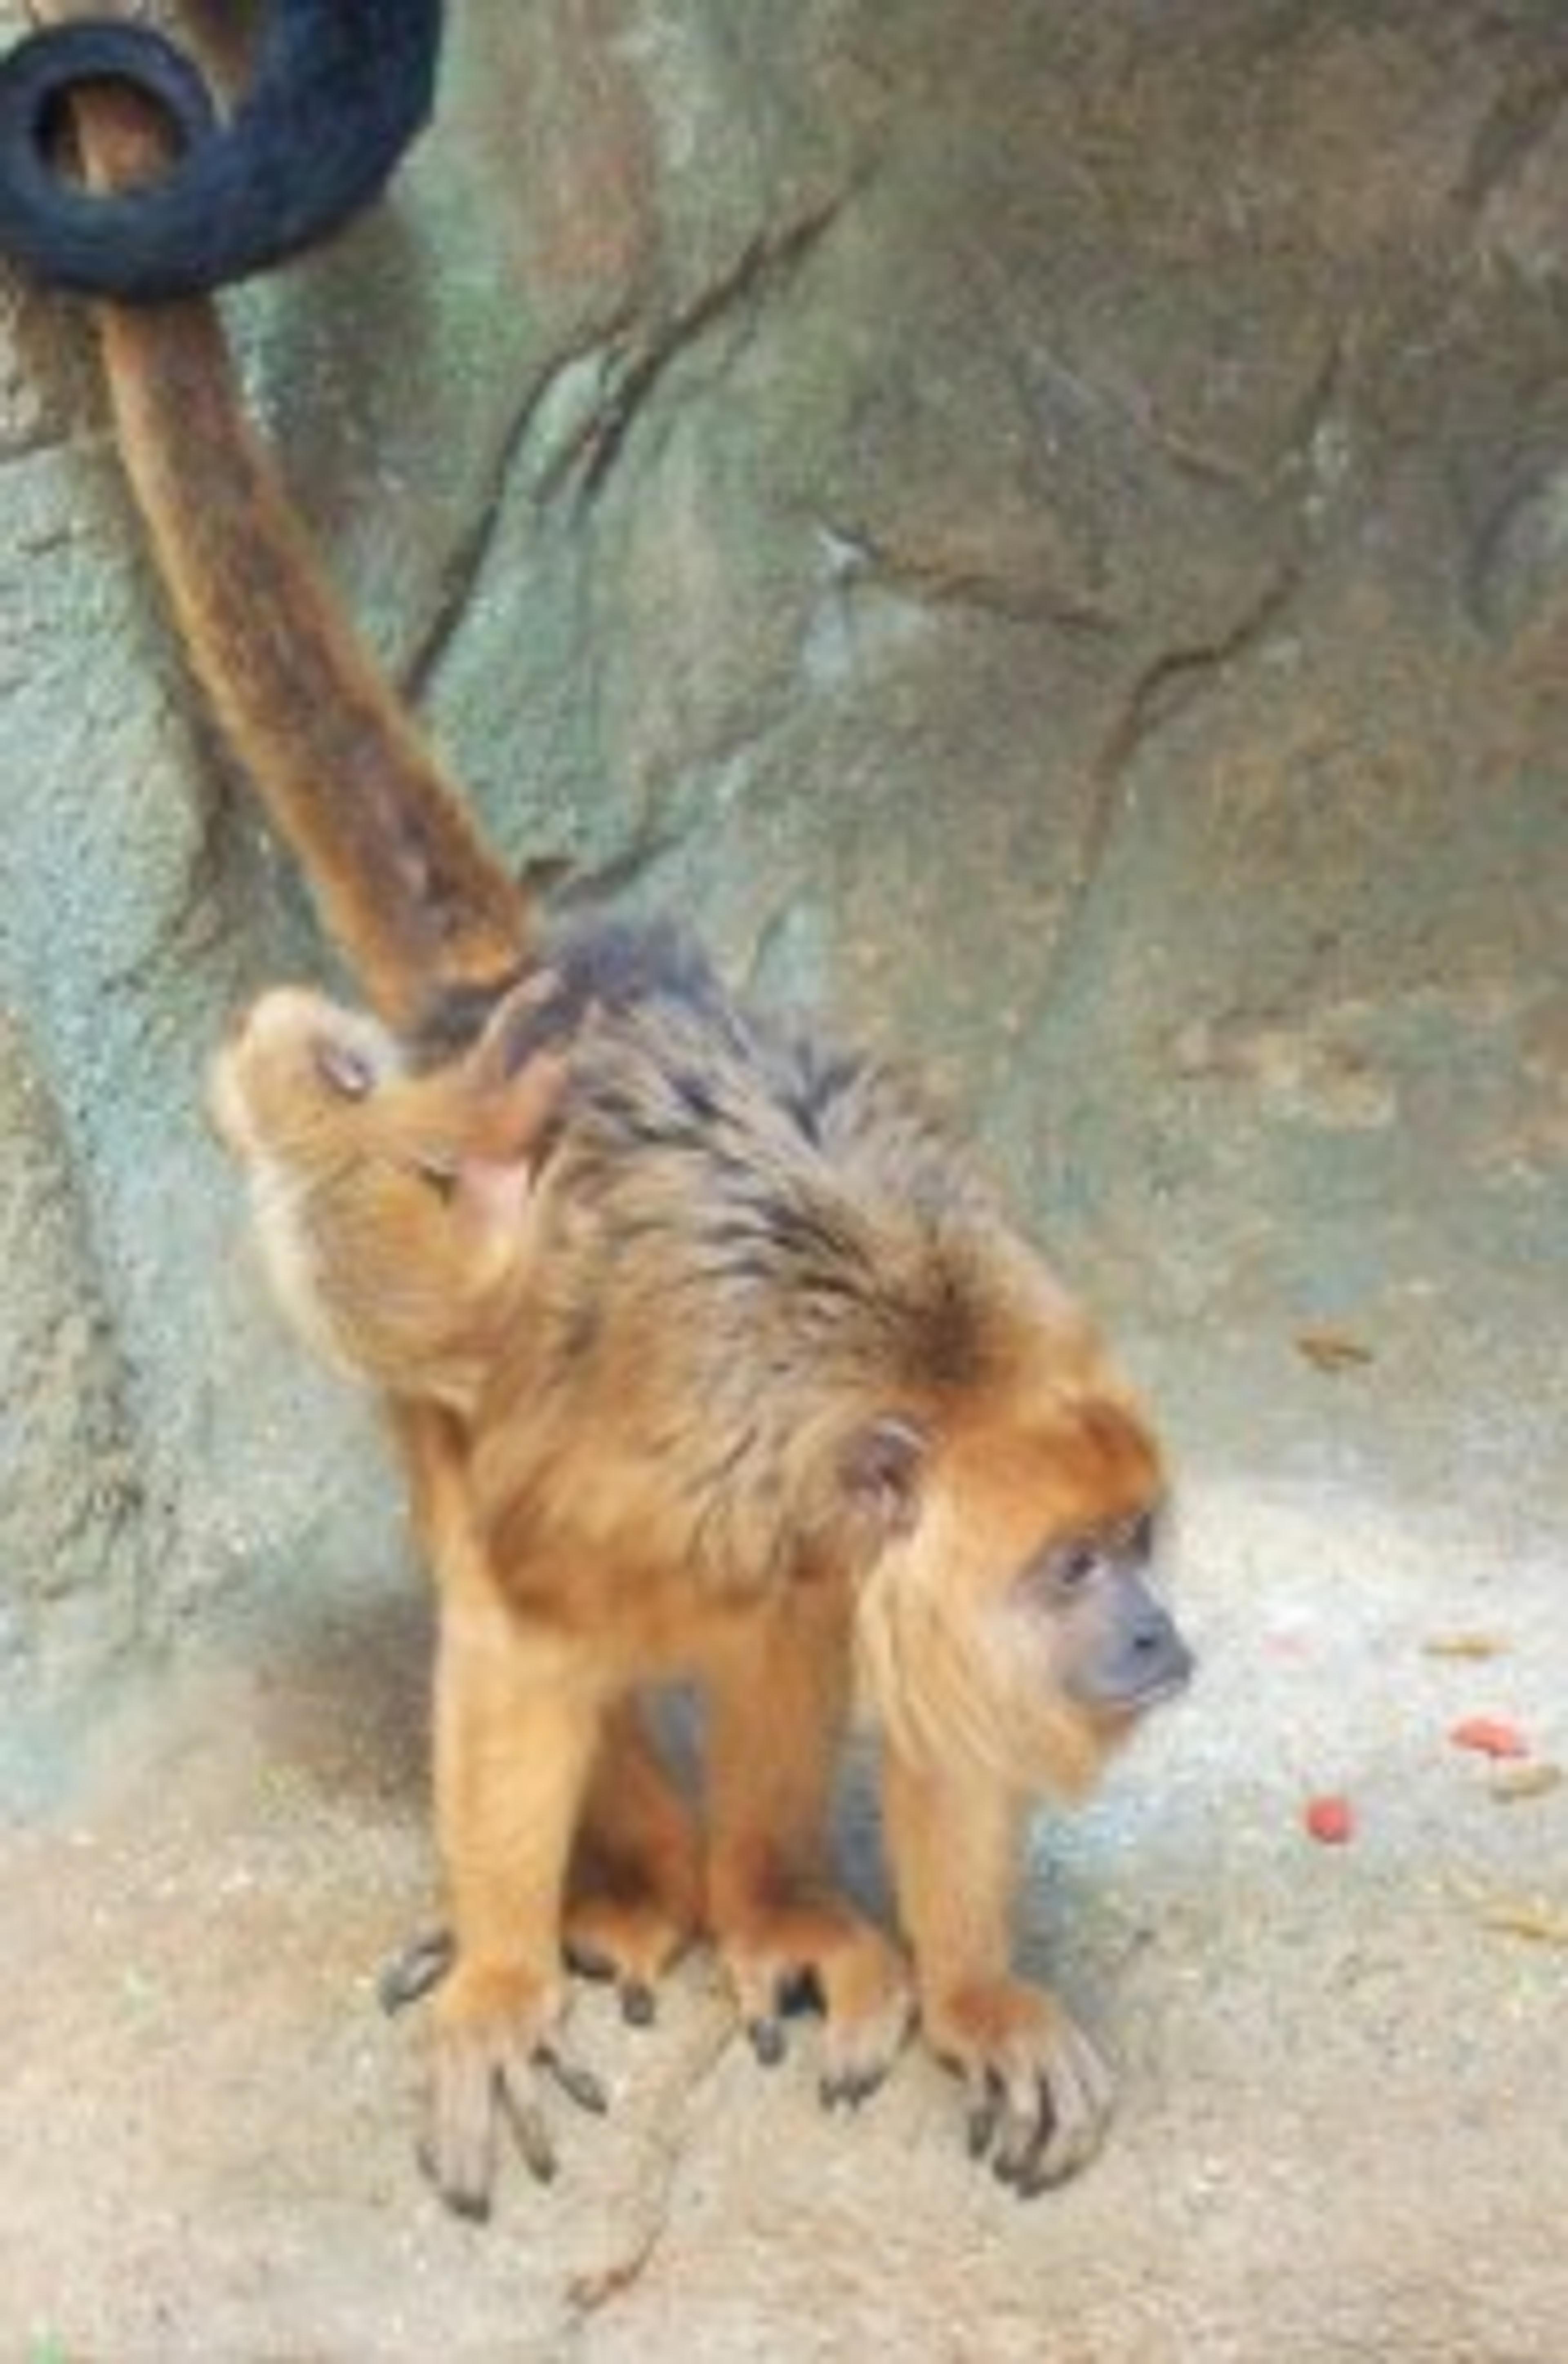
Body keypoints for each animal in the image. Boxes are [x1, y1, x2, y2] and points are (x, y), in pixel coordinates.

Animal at [215, 912, 1196, 2203]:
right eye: (1072, 1565)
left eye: (1137, 1540)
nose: (1157, 1631)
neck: (916, 1386)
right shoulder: (650, 1478)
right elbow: (516, 1632)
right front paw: (501, 1980)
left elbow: (946, 1728)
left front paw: (979, 1995)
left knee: (787, 1626)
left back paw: (769, 1904)